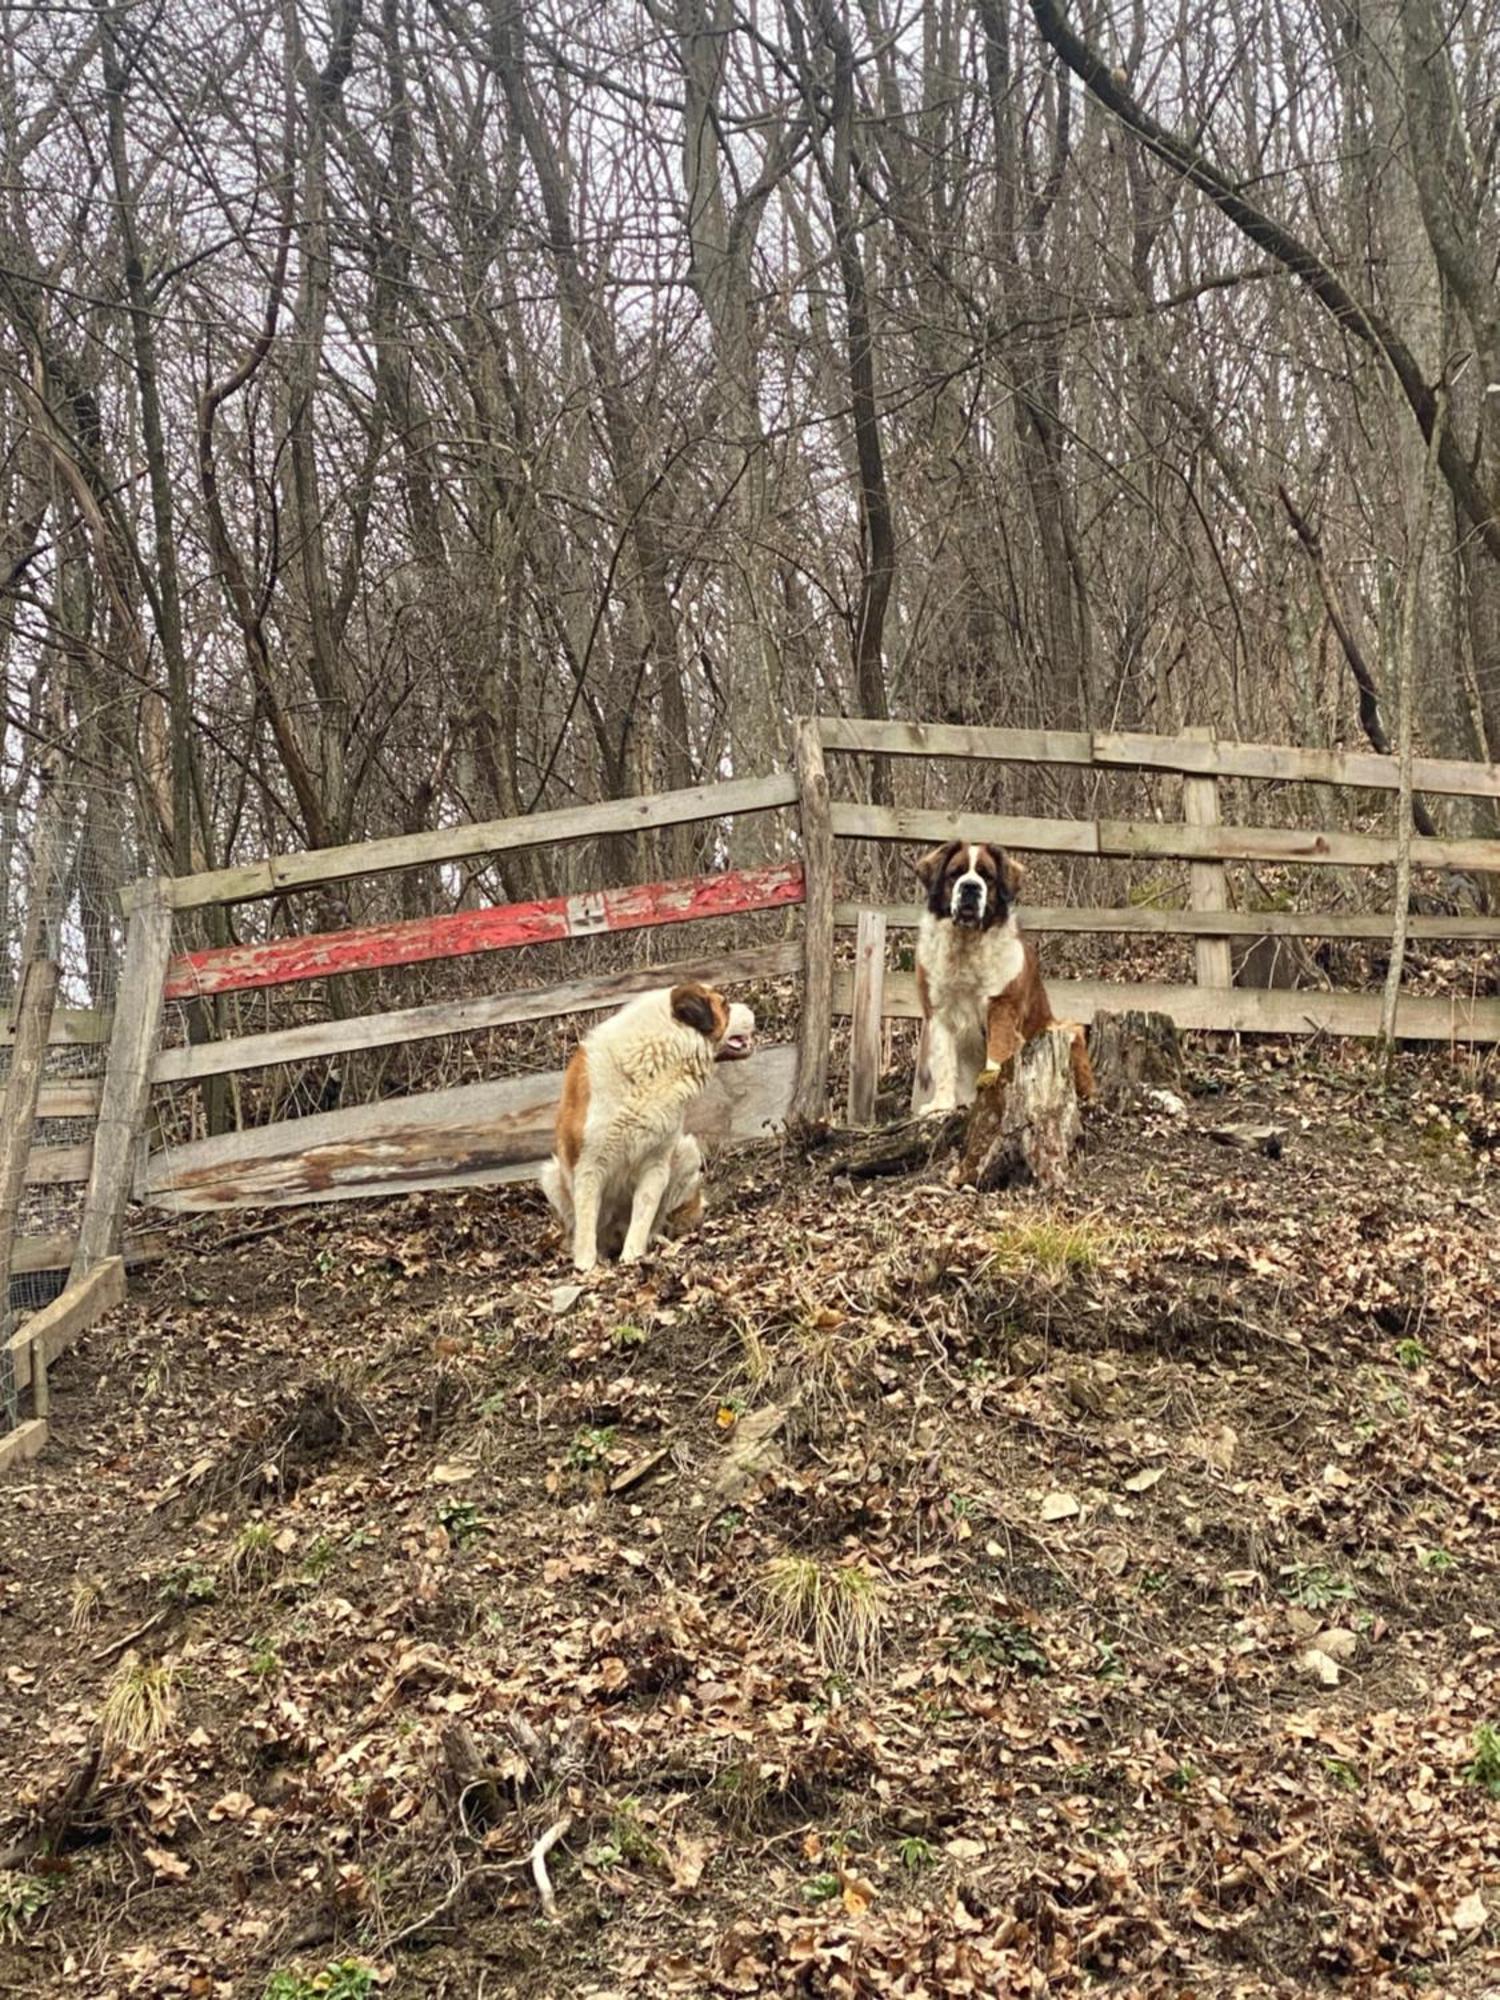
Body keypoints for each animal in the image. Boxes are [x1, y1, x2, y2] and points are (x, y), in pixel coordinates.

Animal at [540, 976, 756, 1272]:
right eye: (724, 1004)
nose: (752, 1009)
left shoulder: (656, 1164)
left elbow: (643, 1213)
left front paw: (633, 1257)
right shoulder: (588, 1166)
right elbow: (586, 1225)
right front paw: (586, 1266)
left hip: (686, 1152)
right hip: (552, 1175)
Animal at [916, 840, 1096, 1112]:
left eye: (987, 876)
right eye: (955, 873)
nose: (971, 887)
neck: (967, 944)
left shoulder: (1002, 1004)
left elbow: (998, 1049)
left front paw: (992, 1085)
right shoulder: (938, 1012)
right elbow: (944, 1061)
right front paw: (941, 1105)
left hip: (1065, 1030)